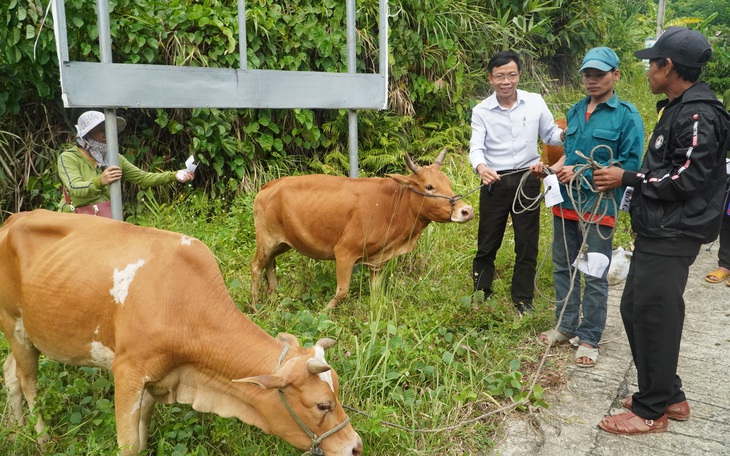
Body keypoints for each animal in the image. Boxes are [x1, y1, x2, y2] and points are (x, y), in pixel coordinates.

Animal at [0, 210, 362, 456]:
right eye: (322, 405)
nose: (356, 446)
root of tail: (14, 218)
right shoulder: (128, 373)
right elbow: (128, 446)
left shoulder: (155, 381)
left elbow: (142, 440)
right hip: (14, 324)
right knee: (29, 382)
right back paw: (41, 437)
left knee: (10, 373)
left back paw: (16, 433)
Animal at [253, 150, 474, 310]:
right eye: (429, 187)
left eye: (448, 183)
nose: (467, 210)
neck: (392, 206)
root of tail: (269, 186)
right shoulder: (344, 252)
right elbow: (342, 291)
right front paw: (324, 312)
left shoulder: (377, 261)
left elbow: (376, 292)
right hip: (266, 241)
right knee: (256, 267)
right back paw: (255, 305)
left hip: (282, 243)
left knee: (269, 264)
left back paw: (272, 296)